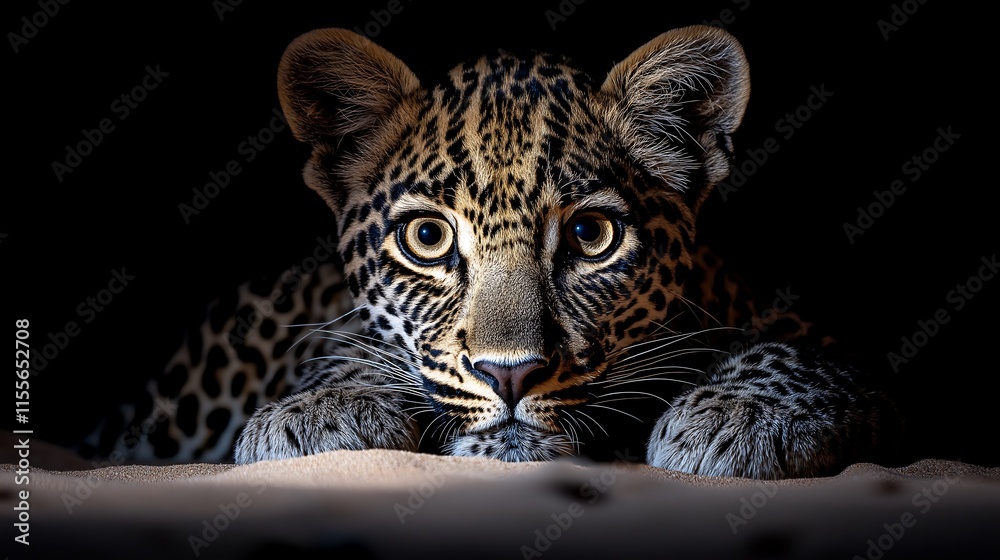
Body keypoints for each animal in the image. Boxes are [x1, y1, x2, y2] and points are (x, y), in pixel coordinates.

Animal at [79, 25, 900, 479]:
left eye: (590, 237)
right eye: (428, 238)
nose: (511, 375)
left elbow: (793, 355)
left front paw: (738, 417)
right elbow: (354, 345)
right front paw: (319, 411)